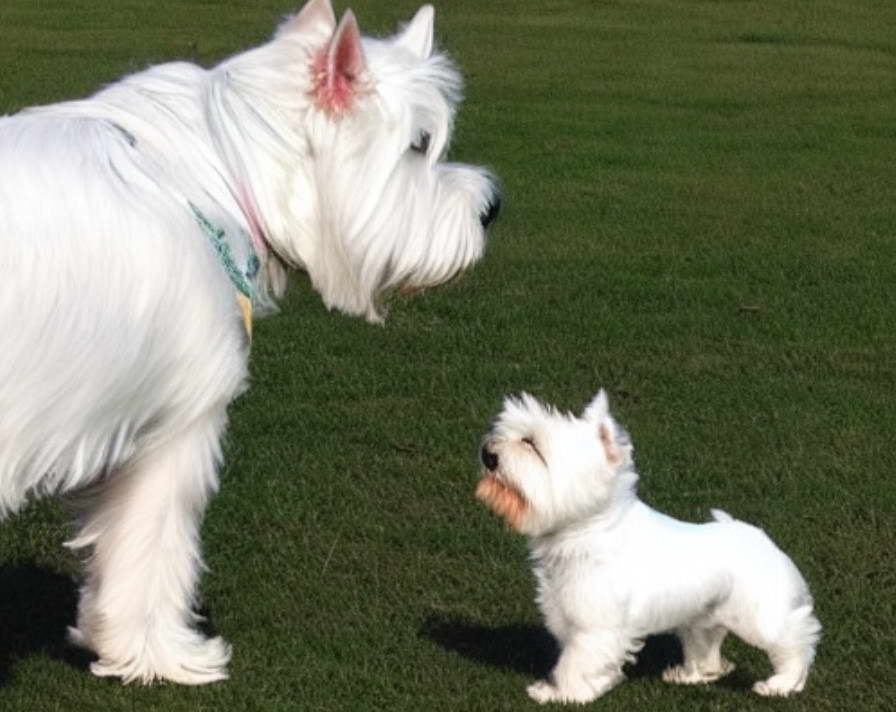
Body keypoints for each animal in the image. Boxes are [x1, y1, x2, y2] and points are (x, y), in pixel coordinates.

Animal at [0, 1, 496, 688]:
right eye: (419, 146)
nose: (491, 209)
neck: (211, 173)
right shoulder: (177, 429)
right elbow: (150, 552)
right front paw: (156, 653)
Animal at [480, 392, 824, 704]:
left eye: (531, 444)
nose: (487, 454)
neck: (590, 531)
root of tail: (765, 541)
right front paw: (596, 684)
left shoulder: (594, 626)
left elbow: (574, 663)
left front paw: (562, 694)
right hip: (702, 619)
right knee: (707, 650)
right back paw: (690, 675)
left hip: (759, 617)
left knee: (798, 638)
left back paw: (781, 684)